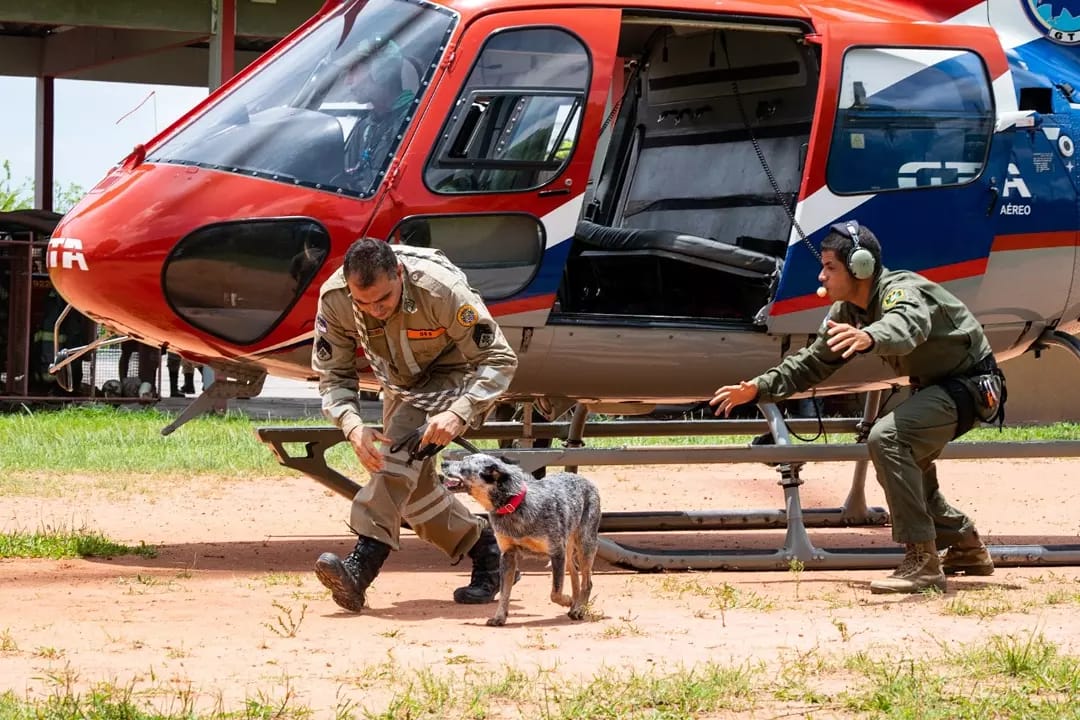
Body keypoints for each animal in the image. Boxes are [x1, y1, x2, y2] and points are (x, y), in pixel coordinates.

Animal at [442, 455, 604, 626]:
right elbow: (505, 593)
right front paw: (499, 617)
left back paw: (579, 609)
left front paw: (567, 600)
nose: (443, 462)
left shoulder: (556, 552)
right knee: (575, 576)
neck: (514, 505)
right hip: (568, 553)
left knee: (587, 582)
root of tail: (585, 480)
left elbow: (555, 592)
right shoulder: (508, 555)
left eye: (464, 464)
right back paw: (576, 605)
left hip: (585, 546)